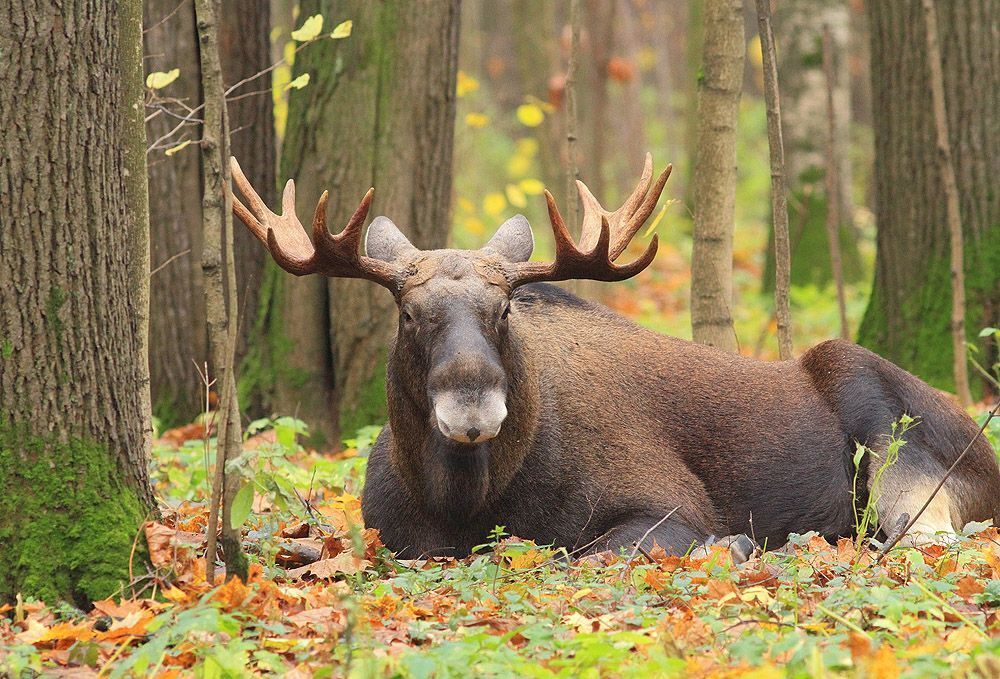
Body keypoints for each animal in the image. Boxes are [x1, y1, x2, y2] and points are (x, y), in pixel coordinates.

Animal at [230, 154, 1000, 561]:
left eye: (503, 310)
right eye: (410, 314)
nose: (472, 404)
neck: (465, 499)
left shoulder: (670, 507)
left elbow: (587, 552)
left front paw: (738, 546)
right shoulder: (389, 536)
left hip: (895, 440)